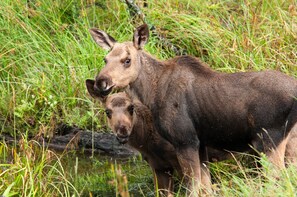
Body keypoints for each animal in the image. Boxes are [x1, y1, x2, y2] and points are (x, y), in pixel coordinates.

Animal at [87, 24, 296, 192]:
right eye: (105, 59)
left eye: (127, 60)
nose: (101, 82)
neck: (151, 94)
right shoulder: (200, 145)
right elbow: (206, 187)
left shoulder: (185, 141)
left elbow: (193, 188)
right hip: (288, 142)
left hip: (269, 139)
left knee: (278, 180)